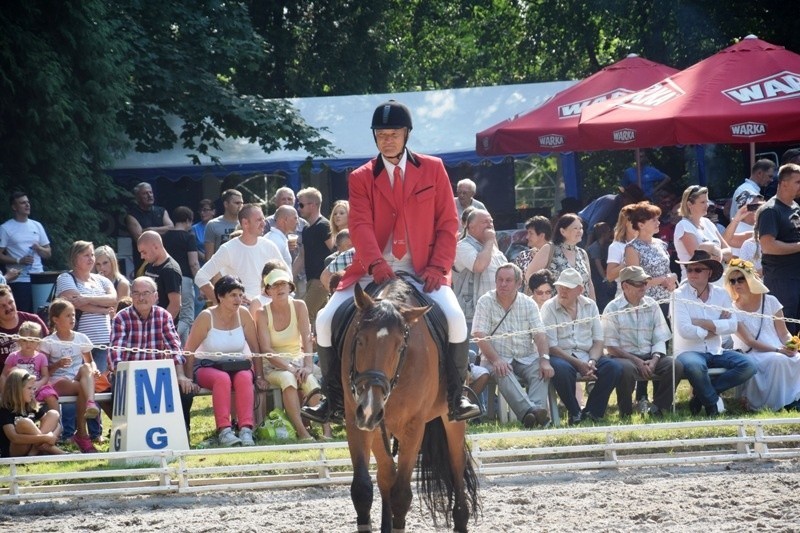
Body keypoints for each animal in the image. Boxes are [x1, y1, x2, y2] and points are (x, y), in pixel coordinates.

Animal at [342, 280, 478, 528]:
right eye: (359, 340)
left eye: (399, 347)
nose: (370, 408)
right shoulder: (357, 419)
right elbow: (363, 490)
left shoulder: (414, 426)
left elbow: (401, 496)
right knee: (386, 475)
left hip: (451, 419)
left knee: (456, 463)